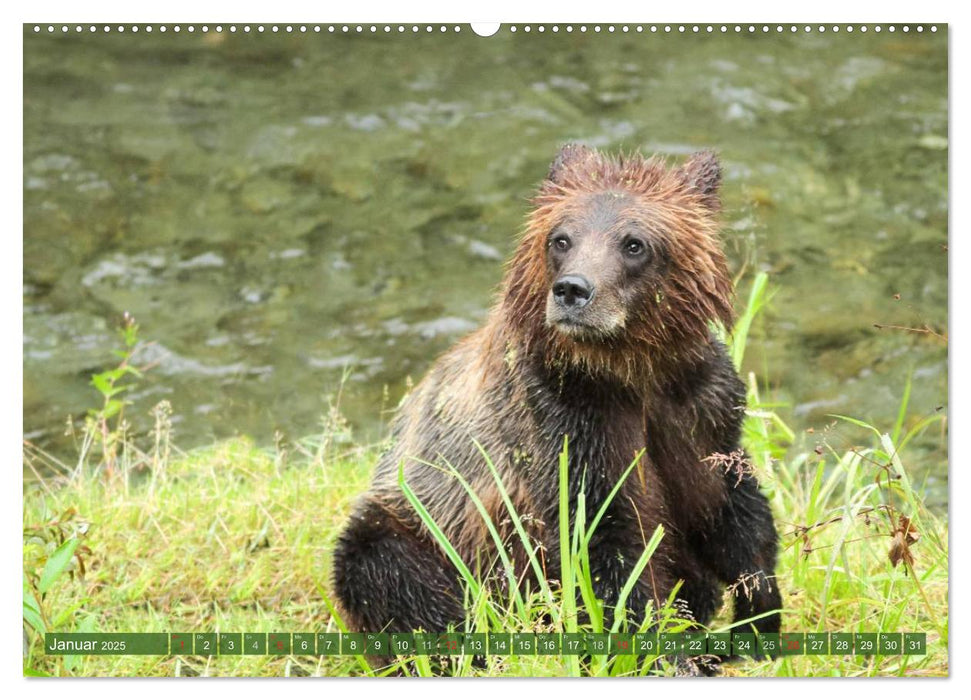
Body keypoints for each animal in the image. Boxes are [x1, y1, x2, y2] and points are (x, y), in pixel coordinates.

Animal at [332, 144, 784, 640]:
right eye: (562, 239)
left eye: (633, 243)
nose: (573, 290)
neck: (631, 369)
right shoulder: (568, 417)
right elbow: (604, 538)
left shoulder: (700, 407)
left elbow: (733, 507)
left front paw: (758, 608)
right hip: (417, 520)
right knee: (384, 566)